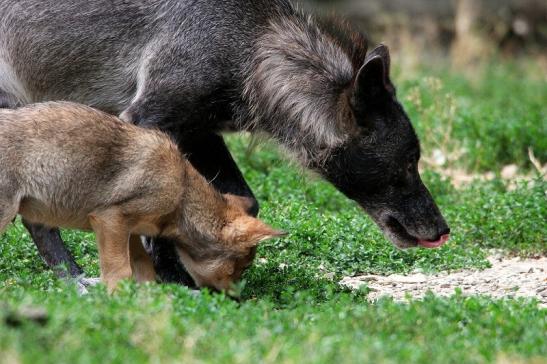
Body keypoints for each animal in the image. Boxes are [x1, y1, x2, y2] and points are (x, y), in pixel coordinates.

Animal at [0, 0, 450, 282]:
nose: (444, 229)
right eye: (409, 162)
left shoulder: (198, 129)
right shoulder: (148, 119)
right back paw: (73, 279)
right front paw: (170, 281)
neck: (249, 45)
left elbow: (244, 199)